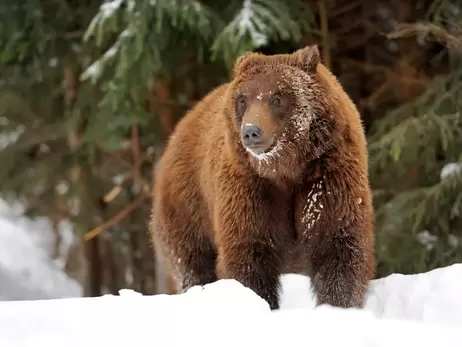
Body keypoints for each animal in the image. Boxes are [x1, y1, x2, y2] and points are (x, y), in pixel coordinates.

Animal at [152, 45, 376, 310]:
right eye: (243, 100)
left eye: (276, 98)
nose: (251, 131)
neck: (285, 169)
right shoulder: (250, 189)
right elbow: (249, 255)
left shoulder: (326, 179)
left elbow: (337, 248)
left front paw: (336, 306)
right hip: (188, 207)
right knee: (191, 263)